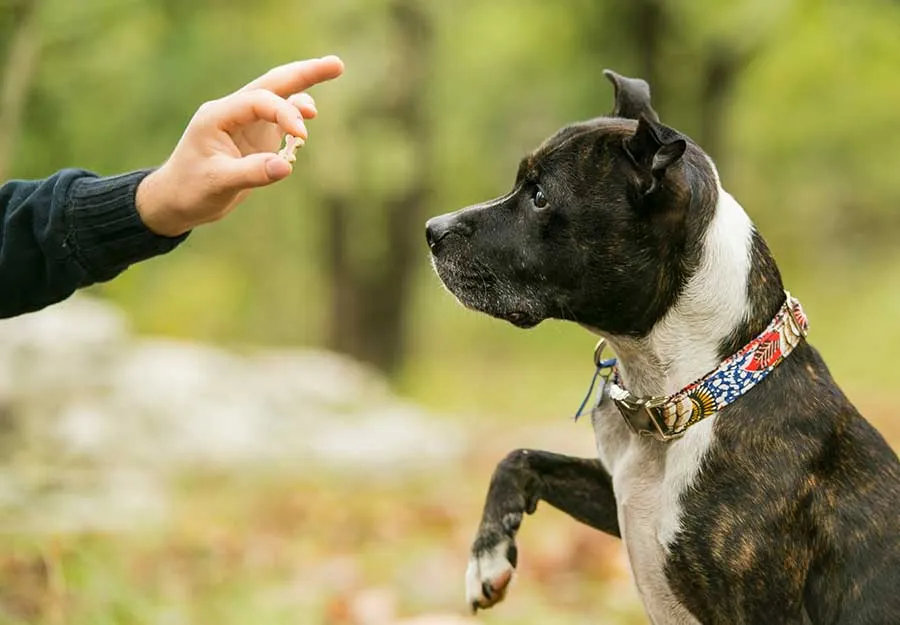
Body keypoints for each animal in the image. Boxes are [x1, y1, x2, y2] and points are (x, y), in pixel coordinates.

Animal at [428, 70, 900, 620]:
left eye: (540, 195)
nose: (431, 230)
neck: (689, 394)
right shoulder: (618, 494)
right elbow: (519, 456)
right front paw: (486, 556)